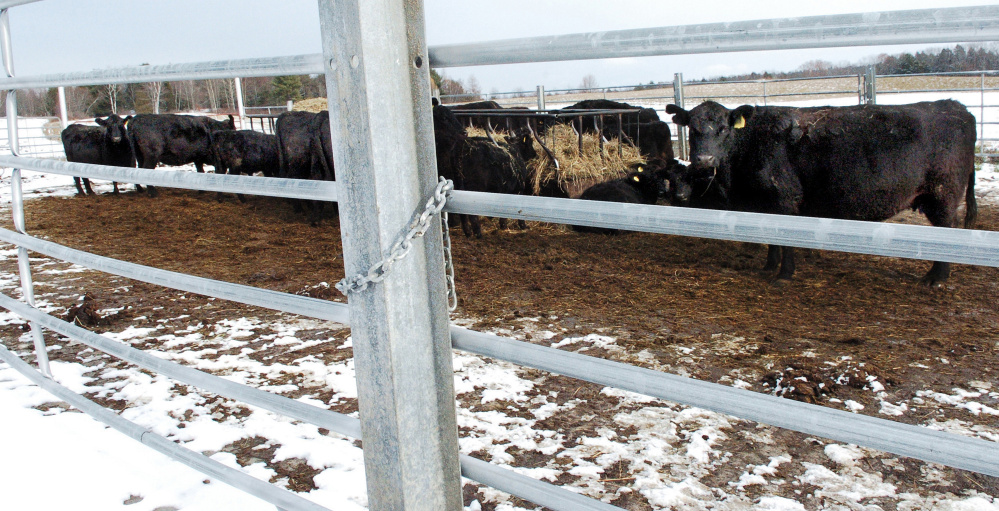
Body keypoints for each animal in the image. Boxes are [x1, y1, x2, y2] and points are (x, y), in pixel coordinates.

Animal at [664, 100, 976, 284]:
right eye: (692, 129)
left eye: (724, 129)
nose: (704, 160)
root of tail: (954, 106)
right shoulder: (765, 203)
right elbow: (771, 238)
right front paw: (769, 266)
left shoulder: (785, 199)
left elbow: (785, 239)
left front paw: (784, 273)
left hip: (943, 194)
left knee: (948, 229)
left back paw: (936, 277)